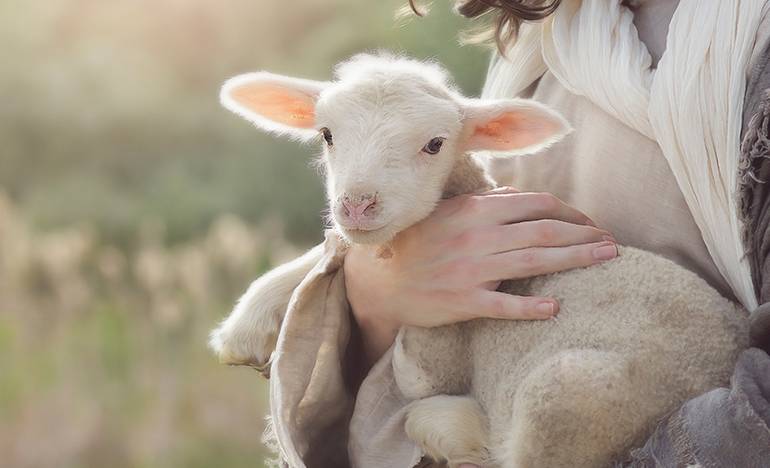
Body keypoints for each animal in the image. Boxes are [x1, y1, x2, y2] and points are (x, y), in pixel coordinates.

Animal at [207, 55, 748, 468]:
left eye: (435, 144)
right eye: (326, 134)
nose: (357, 206)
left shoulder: (434, 351)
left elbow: (413, 368)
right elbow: (334, 249)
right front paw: (246, 324)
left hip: (570, 397)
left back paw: (451, 425)